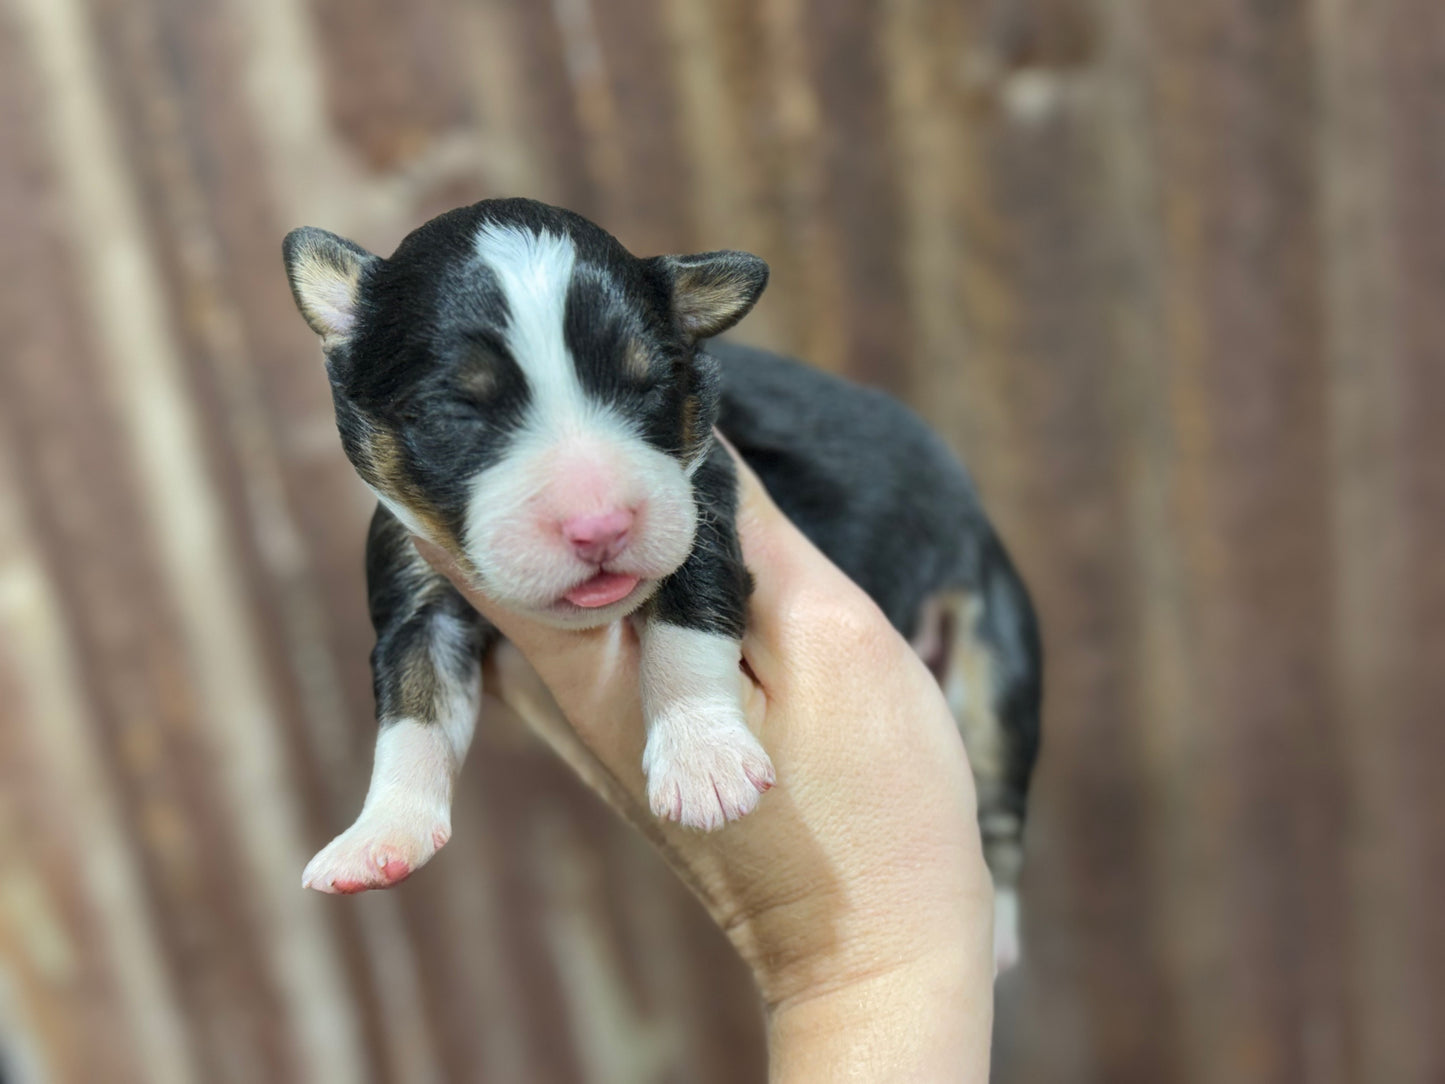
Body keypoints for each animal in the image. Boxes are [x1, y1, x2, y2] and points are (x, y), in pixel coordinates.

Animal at [278, 199, 1040, 971]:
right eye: (451, 413)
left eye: (648, 387)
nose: (599, 527)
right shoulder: (415, 589)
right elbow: (413, 710)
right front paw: (382, 832)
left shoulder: (702, 504)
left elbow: (686, 622)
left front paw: (703, 760)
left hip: (996, 651)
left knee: (998, 795)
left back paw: (998, 931)